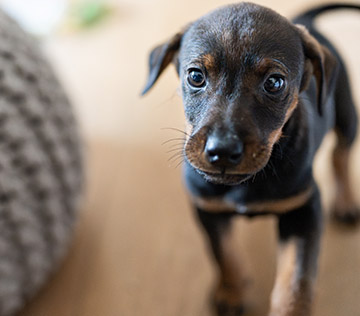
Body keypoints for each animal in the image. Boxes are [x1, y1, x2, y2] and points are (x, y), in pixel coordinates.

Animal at [142, 3, 358, 316]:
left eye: (275, 83)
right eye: (195, 76)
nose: (222, 150)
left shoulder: (303, 209)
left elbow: (296, 281)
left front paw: (289, 309)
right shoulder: (208, 208)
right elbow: (223, 253)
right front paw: (231, 293)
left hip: (346, 113)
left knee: (340, 155)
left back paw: (346, 201)